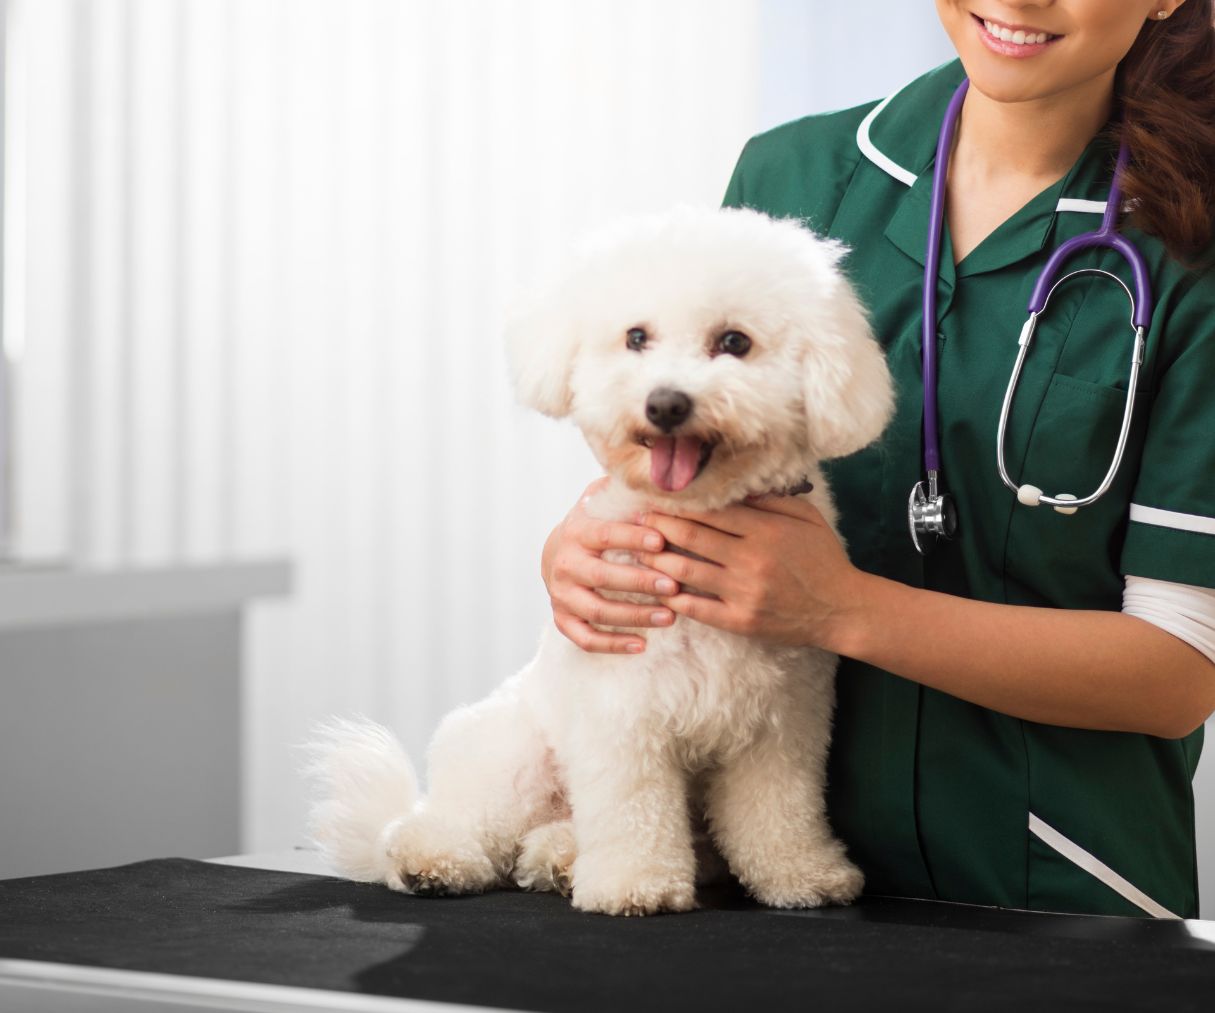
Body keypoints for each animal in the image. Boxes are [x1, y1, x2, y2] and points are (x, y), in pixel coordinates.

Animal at [303, 205, 894, 913]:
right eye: (636, 337)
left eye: (735, 342)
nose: (665, 403)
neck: (693, 519)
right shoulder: (624, 715)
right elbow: (632, 808)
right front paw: (634, 884)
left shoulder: (782, 723)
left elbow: (780, 810)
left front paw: (802, 875)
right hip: (514, 755)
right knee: (445, 823)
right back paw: (434, 861)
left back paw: (558, 859)